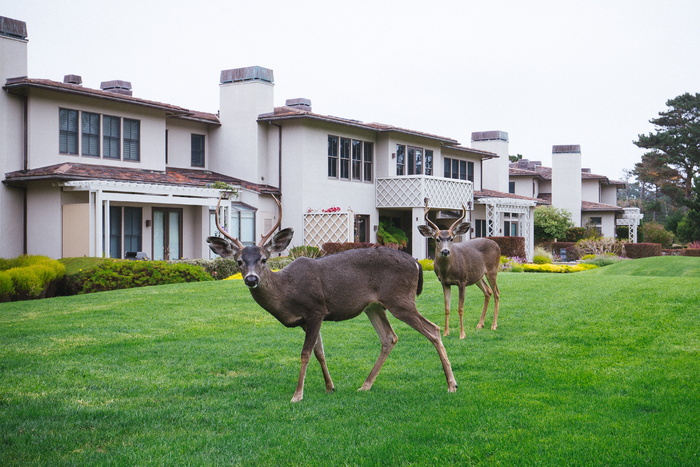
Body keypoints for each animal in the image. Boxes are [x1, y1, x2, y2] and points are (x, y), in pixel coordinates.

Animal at [206, 194, 460, 402]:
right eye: (239, 261)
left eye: (264, 260)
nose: (251, 279)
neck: (286, 293)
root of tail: (416, 263)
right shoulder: (307, 320)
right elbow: (320, 352)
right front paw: (330, 387)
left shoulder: (316, 309)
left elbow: (306, 353)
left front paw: (297, 395)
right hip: (374, 306)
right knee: (389, 337)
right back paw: (365, 385)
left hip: (400, 299)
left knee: (433, 329)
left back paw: (451, 385)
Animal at [418, 205, 500, 340]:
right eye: (437, 239)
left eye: (451, 238)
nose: (445, 251)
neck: (447, 271)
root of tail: (496, 244)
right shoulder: (444, 283)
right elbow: (446, 308)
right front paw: (446, 333)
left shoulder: (462, 281)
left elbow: (460, 308)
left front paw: (462, 334)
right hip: (477, 275)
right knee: (488, 292)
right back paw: (480, 324)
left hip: (492, 270)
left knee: (496, 292)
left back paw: (494, 325)